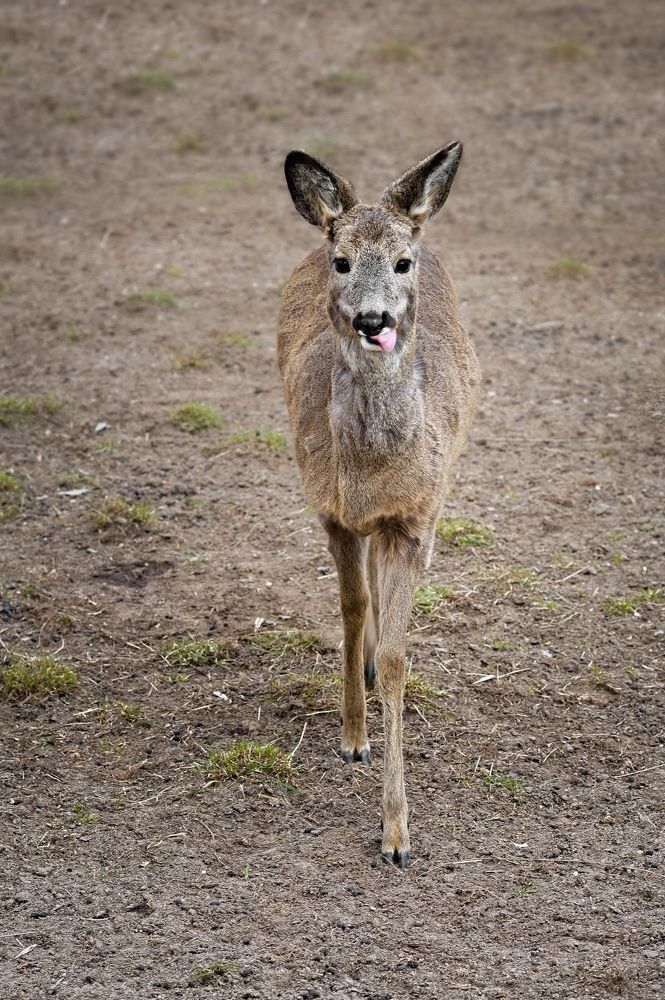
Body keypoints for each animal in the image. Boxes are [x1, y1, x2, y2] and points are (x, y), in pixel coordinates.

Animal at [277, 142, 481, 868]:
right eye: (341, 262)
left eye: (401, 263)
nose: (373, 320)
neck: (373, 471)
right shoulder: (329, 507)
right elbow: (349, 607)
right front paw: (351, 736)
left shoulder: (417, 519)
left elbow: (396, 656)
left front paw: (396, 834)